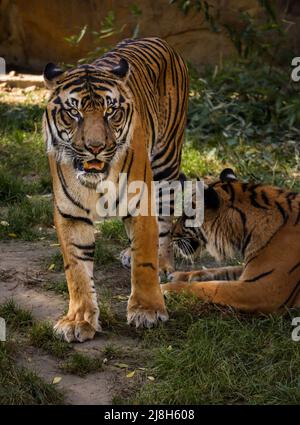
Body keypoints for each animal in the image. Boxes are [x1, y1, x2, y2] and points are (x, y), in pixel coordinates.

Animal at [42, 37, 188, 342]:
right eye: (74, 112)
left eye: (111, 112)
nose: (95, 147)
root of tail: (156, 38)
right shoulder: (70, 214)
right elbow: (76, 270)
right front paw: (78, 320)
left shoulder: (141, 202)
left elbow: (144, 260)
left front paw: (148, 310)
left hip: (166, 164)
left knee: (164, 224)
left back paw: (163, 263)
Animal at [162, 168, 300, 312]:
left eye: (187, 216)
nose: (171, 233)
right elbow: (220, 270)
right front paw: (178, 276)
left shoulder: (262, 289)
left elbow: (209, 286)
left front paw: (164, 288)